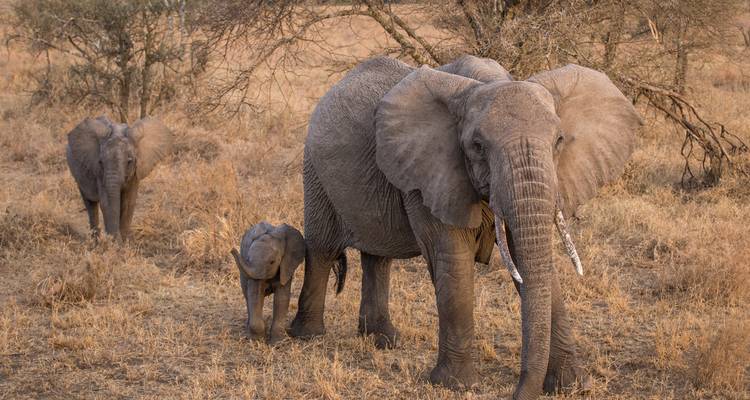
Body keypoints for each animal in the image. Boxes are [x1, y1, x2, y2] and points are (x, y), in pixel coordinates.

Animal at [287, 55, 641, 399]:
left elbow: (530, 261)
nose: (517, 392)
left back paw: (383, 340)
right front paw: (456, 384)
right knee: (322, 248)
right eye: (478, 146)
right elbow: (453, 257)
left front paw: (573, 386)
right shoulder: (430, 171)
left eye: (559, 141)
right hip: (314, 167)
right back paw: (308, 336)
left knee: (378, 255)